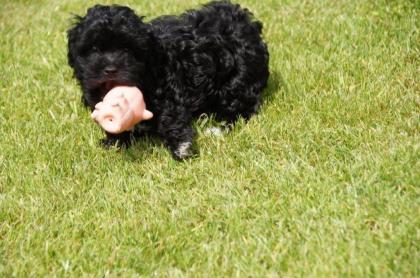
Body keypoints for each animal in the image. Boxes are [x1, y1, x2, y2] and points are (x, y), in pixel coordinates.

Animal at [66, 0, 270, 160]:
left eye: (127, 50)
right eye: (94, 49)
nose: (110, 69)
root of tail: (247, 23)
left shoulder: (172, 88)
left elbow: (170, 115)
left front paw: (181, 146)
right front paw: (116, 142)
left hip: (238, 80)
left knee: (242, 109)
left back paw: (219, 128)